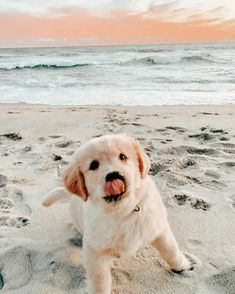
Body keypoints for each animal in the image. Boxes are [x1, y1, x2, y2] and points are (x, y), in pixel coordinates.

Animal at [42, 134, 196, 292]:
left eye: (122, 157)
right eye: (93, 165)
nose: (113, 175)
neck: (123, 211)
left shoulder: (157, 226)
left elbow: (171, 249)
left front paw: (183, 266)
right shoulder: (95, 250)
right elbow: (100, 280)